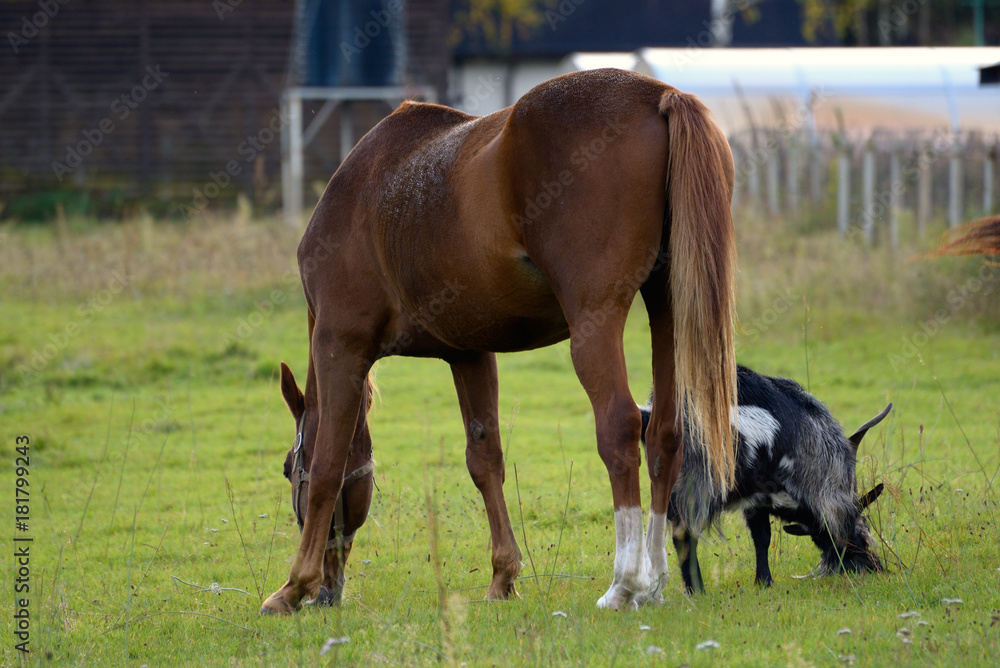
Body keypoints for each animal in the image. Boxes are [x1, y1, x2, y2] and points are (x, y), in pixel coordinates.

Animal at [261, 68, 738, 614]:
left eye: (286, 469)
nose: (327, 593)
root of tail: (659, 94)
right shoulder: (468, 353)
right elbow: (484, 461)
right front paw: (502, 576)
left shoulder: (340, 343)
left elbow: (326, 466)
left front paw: (293, 585)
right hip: (668, 311)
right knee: (664, 434)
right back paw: (654, 581)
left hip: (594, 325)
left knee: (619, 429)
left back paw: (625, 583)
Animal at [639, 365, 889, 592]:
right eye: (863, 530)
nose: (875, 568)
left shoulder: (756, 498)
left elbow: (762, 537)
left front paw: (763, 581)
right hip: (698, 482)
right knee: (684, 533)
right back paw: (697, 590)